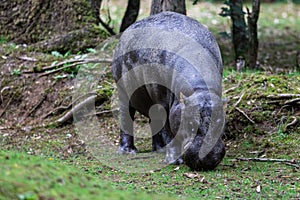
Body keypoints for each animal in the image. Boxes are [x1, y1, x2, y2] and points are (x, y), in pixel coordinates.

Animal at [112, 11, 225, 170]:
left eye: (220, 122)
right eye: (190, 122)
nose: (207, 159)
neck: (200, 89)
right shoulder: (165, 104)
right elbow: (169, 130)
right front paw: (174, 161)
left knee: (154, 122)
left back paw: (159, 149)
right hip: (124, 91)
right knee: (126, 116)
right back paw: (128, 151)